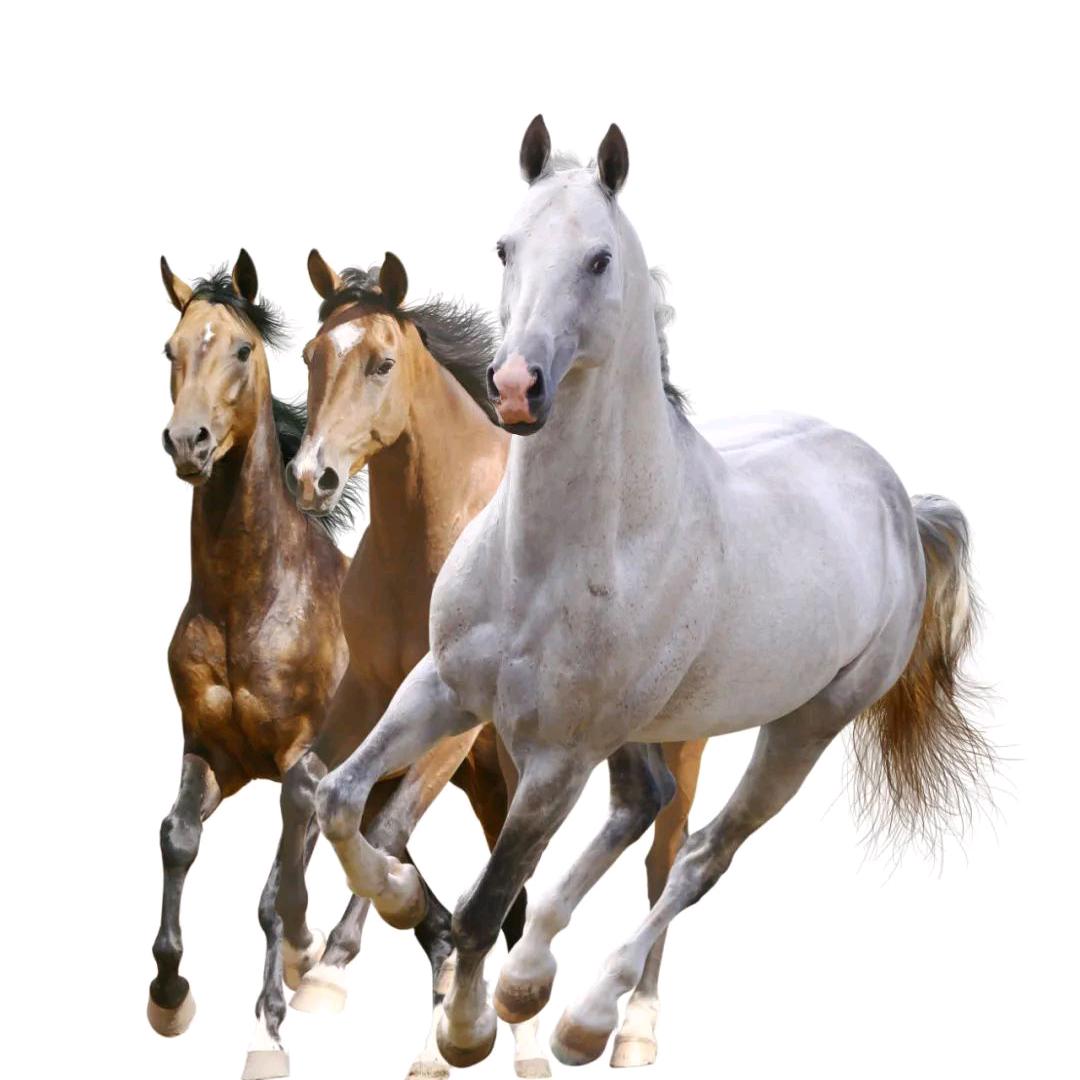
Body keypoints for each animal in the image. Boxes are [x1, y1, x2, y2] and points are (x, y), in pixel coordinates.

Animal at [151, 251, 360, 1076]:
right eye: (171, 351)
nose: (189, 443)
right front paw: (169, 996)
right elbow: (177, 838)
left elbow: (274, 892)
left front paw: (269, 1026)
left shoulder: (302, 761)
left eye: (240, 350)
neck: (251, 600)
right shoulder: (212, 752)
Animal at [272, 250, 552, 1079]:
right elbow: (308, 786)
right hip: (491, 777)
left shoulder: (452, 726)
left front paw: (334, 965)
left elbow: (389, 822)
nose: (313, 478)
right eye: (312, 356)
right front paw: (299, 946)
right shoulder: (365, 693)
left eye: (382, 362)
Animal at [311, 115, 993, 1070]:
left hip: (803, 728)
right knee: (645, 805)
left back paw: (586, 1016)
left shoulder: (557, 758)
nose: (515, 387)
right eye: (505, 246)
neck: (551, 557)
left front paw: (468, 1027)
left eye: (598, 258)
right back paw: (535, 979)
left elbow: (487, 901)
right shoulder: (442, 687)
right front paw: (405, 902)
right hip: (645, 726)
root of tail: (898, 498)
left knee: (700, 857)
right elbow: (340, 799)